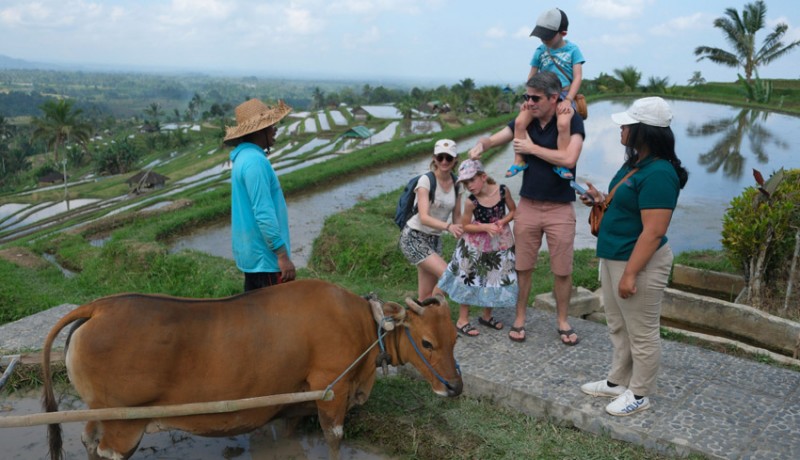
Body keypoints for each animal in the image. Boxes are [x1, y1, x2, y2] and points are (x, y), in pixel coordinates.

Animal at [40, 278, 460, 458]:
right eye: (427, 343)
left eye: (455, 338)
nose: (455, 387)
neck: (361, 323)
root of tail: (98, 307)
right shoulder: (331, 389)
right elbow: (334, 438)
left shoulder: (295, 397)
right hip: (124, 426)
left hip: (99, 416)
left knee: (87, 441)